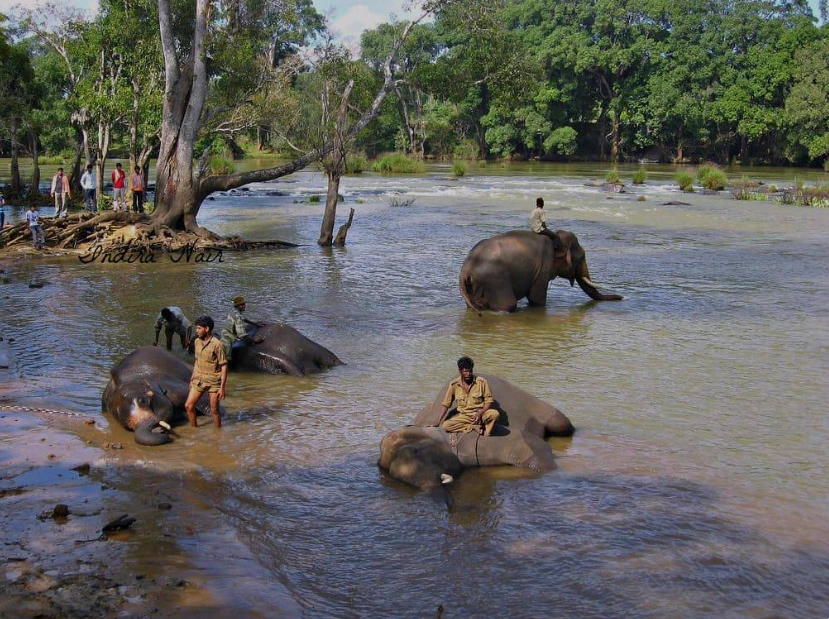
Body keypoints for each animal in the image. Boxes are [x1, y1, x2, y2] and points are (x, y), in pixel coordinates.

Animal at [459, 230, 623, 313]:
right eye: (582, 257)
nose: (621, 297)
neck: (556, 240)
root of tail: (465, 269)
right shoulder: (544, 265)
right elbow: (536, 299)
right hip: (496, 281)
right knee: (507, 306)